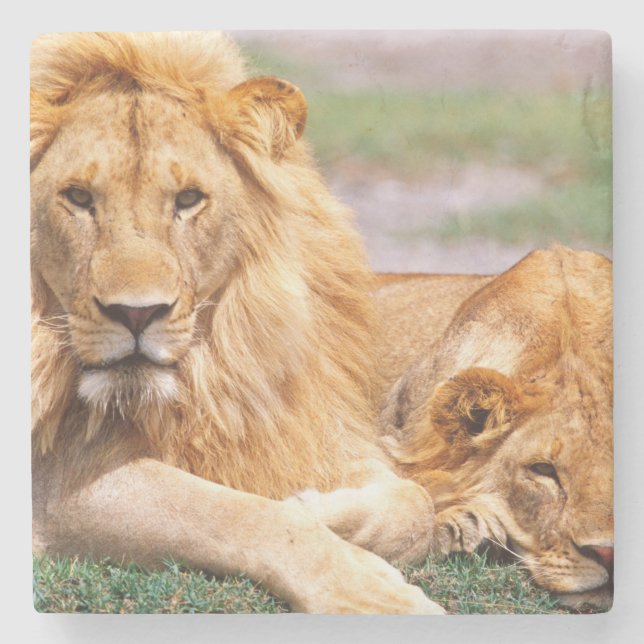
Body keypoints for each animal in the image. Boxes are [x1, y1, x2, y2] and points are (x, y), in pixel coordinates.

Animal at [30, 32, 445, 614]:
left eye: (187, 200)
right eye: (78, 198)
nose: (136, 313)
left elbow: (417, 503)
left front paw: (321, 509)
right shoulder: (56, 487)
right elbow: (240, 515)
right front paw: (368, 590)